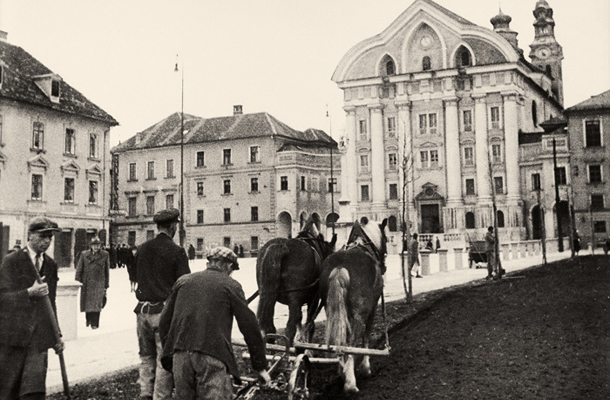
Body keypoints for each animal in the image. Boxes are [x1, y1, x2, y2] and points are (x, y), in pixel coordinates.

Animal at [253, 217, 334, 346]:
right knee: (290, 328)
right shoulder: (314, 299)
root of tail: (283, 246)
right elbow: (309, 323)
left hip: (270, 297)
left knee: (270, 327)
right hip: (295, 299)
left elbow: (300, 319)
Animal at [316, 216, 388, 394]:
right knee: (351, 343)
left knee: (341, 342)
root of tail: (341, 267)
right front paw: (365, 368)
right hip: (360, 313)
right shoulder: (372, 306)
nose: (384, 266)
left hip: (332, 309)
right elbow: (366, 336)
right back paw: (350, 384)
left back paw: (343, 371)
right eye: (386, 238)